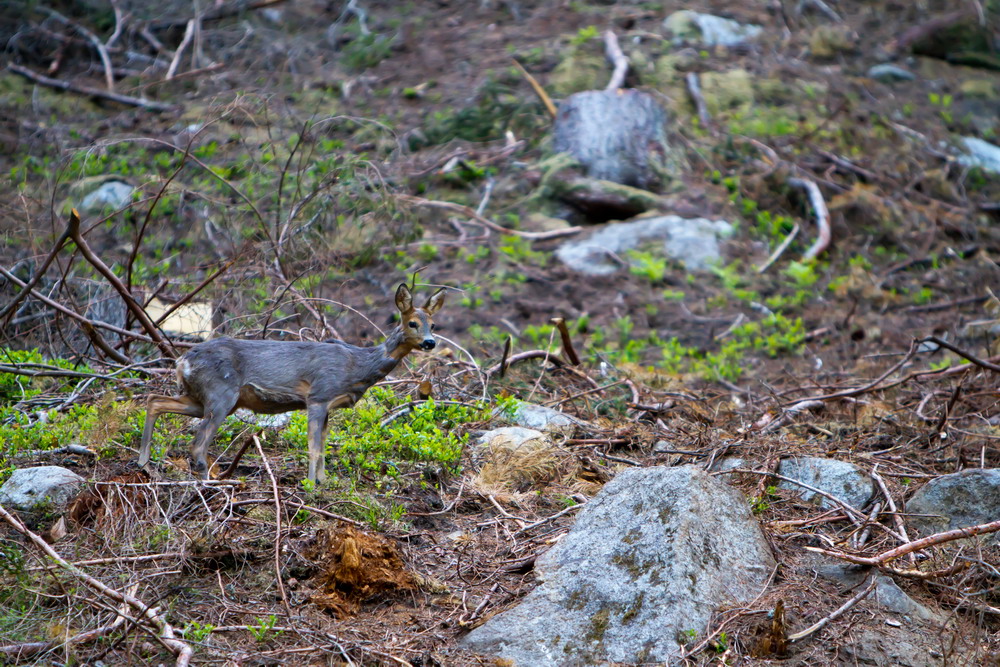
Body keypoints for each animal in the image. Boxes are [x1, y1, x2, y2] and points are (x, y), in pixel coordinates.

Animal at [138, 284, 446, 482]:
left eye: (433, 324)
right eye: (412, 323)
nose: (430, 343)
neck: (358, 366)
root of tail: (182, 361)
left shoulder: (328, 405)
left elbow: (323, 444)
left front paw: (325, 482)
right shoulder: (319, 395)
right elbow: (313, 445)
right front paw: (310, 485)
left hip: (201, 397)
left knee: (155, 401)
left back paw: (143, 462)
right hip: (221, 393)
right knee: (198, 443)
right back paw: (208, 480)